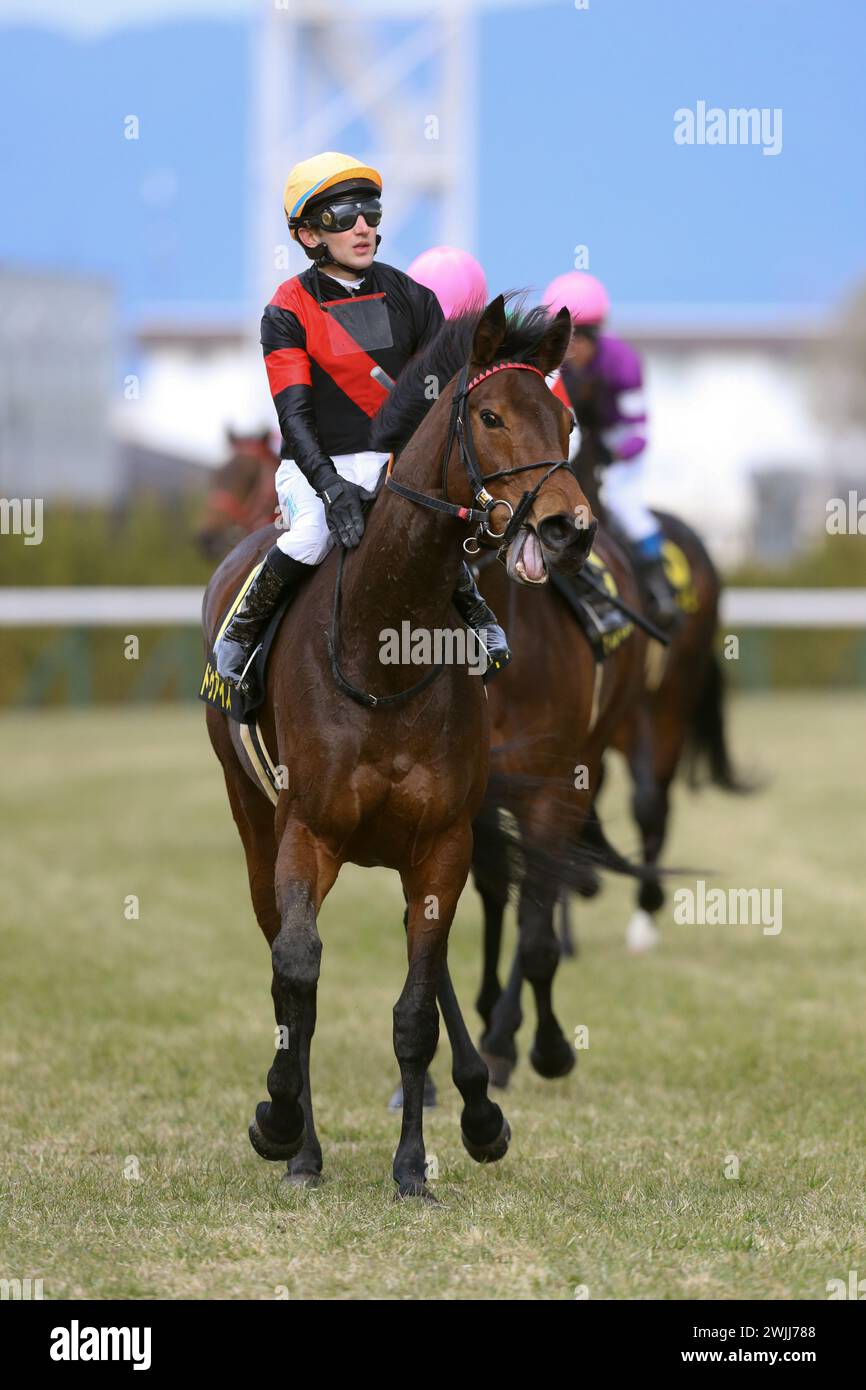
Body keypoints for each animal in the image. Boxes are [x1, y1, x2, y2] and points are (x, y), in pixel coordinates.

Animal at [202, 298, 594, 1200]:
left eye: (565, 420)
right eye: (490, 417)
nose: (569, 527)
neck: (385, 646)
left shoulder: (443, 839)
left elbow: (416, 1009)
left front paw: (416, 1165)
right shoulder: (307, 833)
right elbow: (298, 974)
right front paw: (281, 1125)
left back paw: (478, 1109)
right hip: (253, 818)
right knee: (282, 961)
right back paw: (302, 1145)